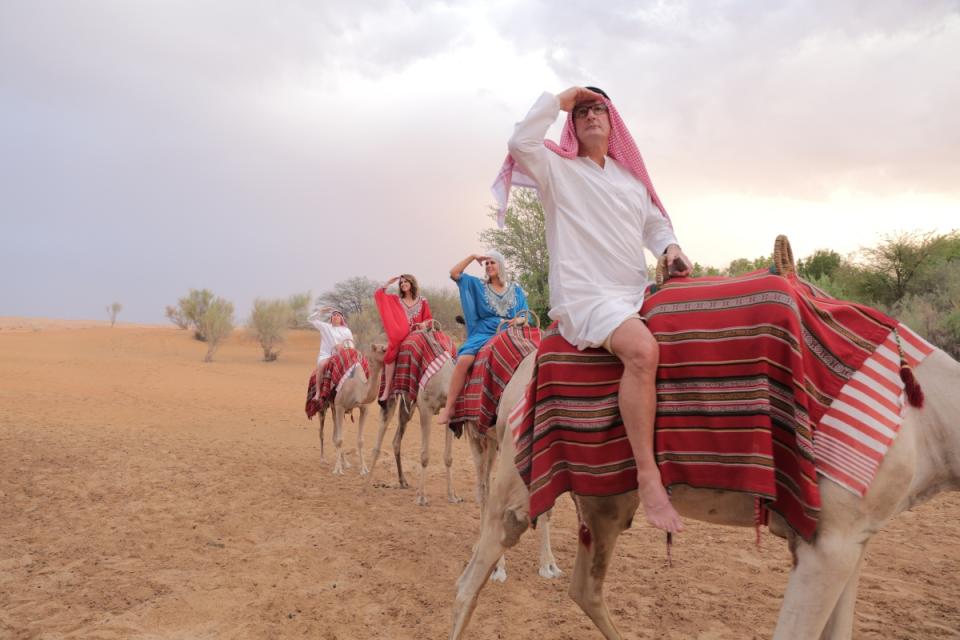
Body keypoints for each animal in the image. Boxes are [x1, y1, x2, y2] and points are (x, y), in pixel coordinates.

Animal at [316, 344, 388, 476]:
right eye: (383, 349)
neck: (357, 388)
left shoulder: (364, 408)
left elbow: (360, 440)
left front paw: (364, 469)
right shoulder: (340, 406)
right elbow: (340, 439)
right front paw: (337, 470)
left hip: (334, 408)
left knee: (335, 433)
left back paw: (346, 463)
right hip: (324, 406)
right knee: (322, 432)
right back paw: (323, 459)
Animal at [454, 350, 960, 640]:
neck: (927, 418)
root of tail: (516, 383)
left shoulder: (854, 538)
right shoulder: (827, 543)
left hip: (605, 503)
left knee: (584, 587)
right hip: (520, 474)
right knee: (472, 577)